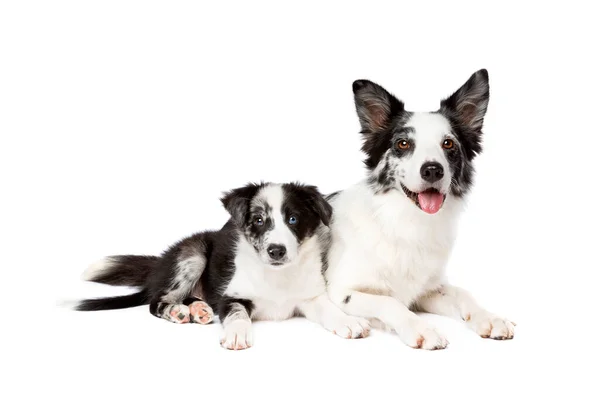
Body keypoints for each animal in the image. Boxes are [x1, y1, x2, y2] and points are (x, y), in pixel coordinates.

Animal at [78, 182, 370, 350]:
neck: (276, 276)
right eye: (259, 220)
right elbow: (237, 314)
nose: (276, 250)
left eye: (293, 219)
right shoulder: (230, 296)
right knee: (157, 301)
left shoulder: (310, 297)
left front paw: (350, 322)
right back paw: (178, 311)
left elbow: (330, 310)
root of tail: (160, 264)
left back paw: (198, 309)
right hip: (192, 255)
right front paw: (238, 334)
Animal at [324, 69, 516, 350]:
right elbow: (390, 301)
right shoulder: (342, 291)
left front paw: (489, 317)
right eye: (403, 144)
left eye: (448, 144)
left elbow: (463, 293)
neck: (407, 223)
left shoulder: (427, 291)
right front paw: (421, 328)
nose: (433, 170)